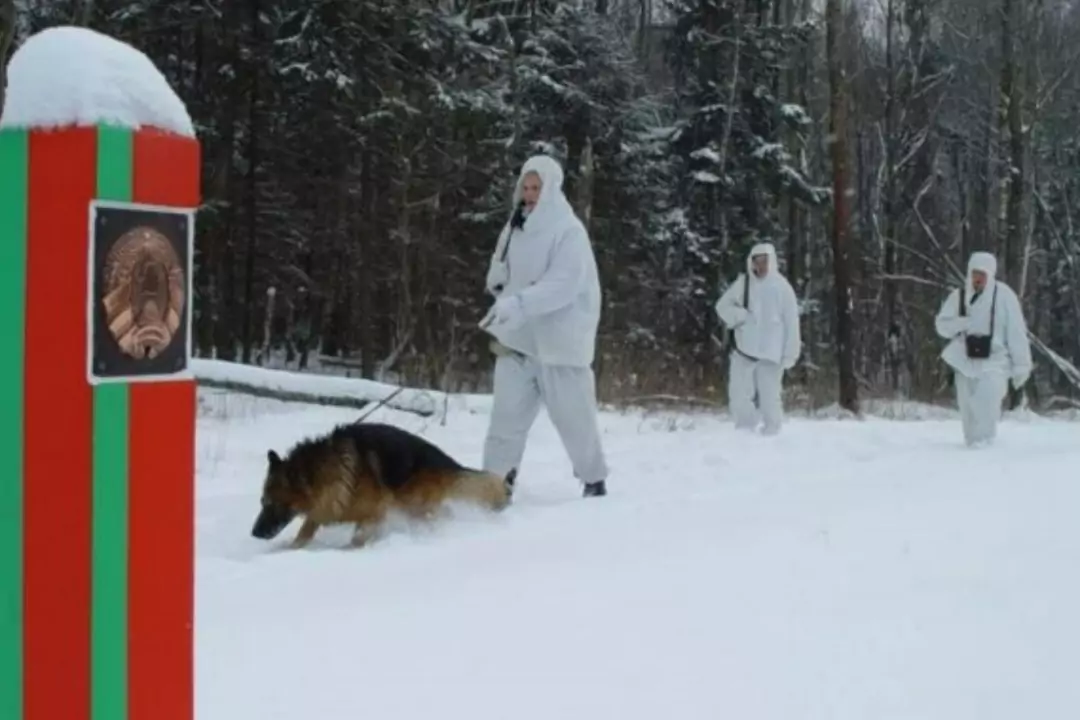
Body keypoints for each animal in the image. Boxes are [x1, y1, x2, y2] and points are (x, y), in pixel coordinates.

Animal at [250, 418, 516, 548]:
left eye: (274, 504)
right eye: (262, 502)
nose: (254, 533)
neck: (324, 473)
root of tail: (449, 463)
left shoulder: (374, 513)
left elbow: (357, 539)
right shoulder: (322, 510)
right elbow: (304, 533)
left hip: (414, 506)